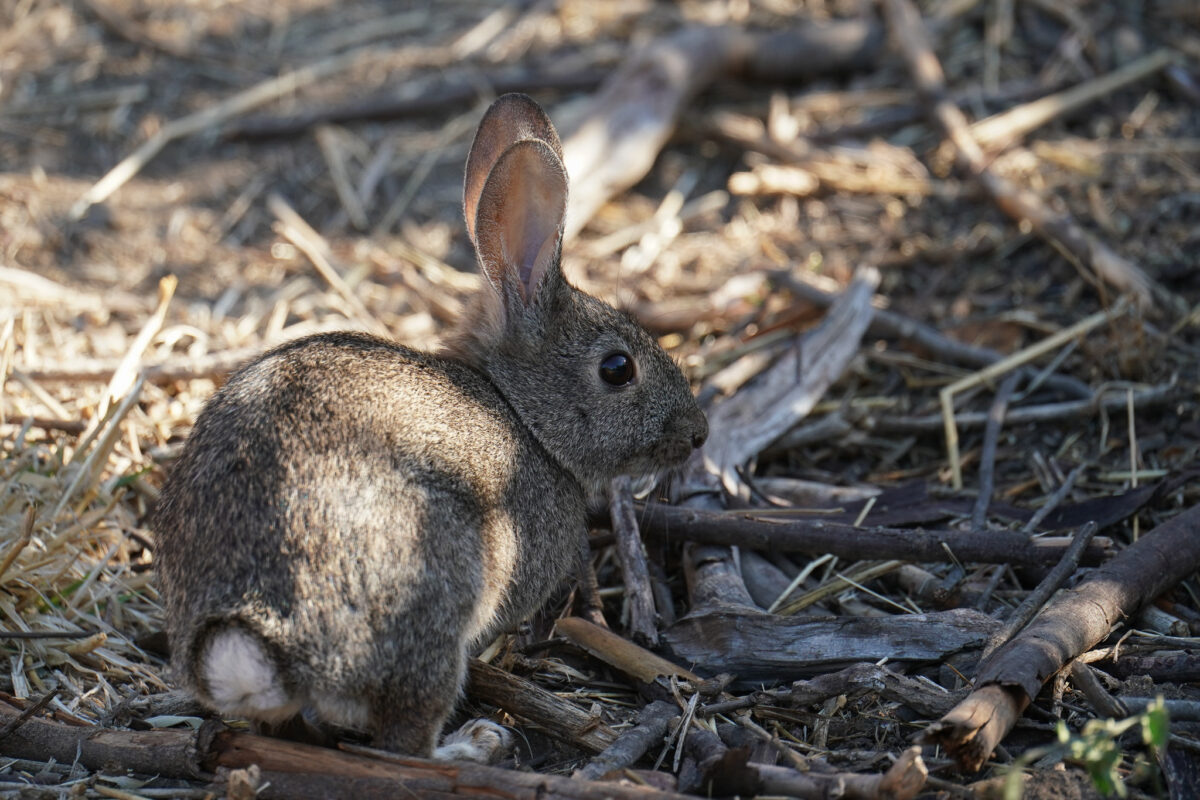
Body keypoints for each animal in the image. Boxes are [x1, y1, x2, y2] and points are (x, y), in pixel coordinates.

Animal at [153, 93, 708, 762]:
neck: (516, 407)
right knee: (404, 740)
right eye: (617, 368)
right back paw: (474, 744)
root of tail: (265, 646)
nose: (699, 433)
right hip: (443, 590)